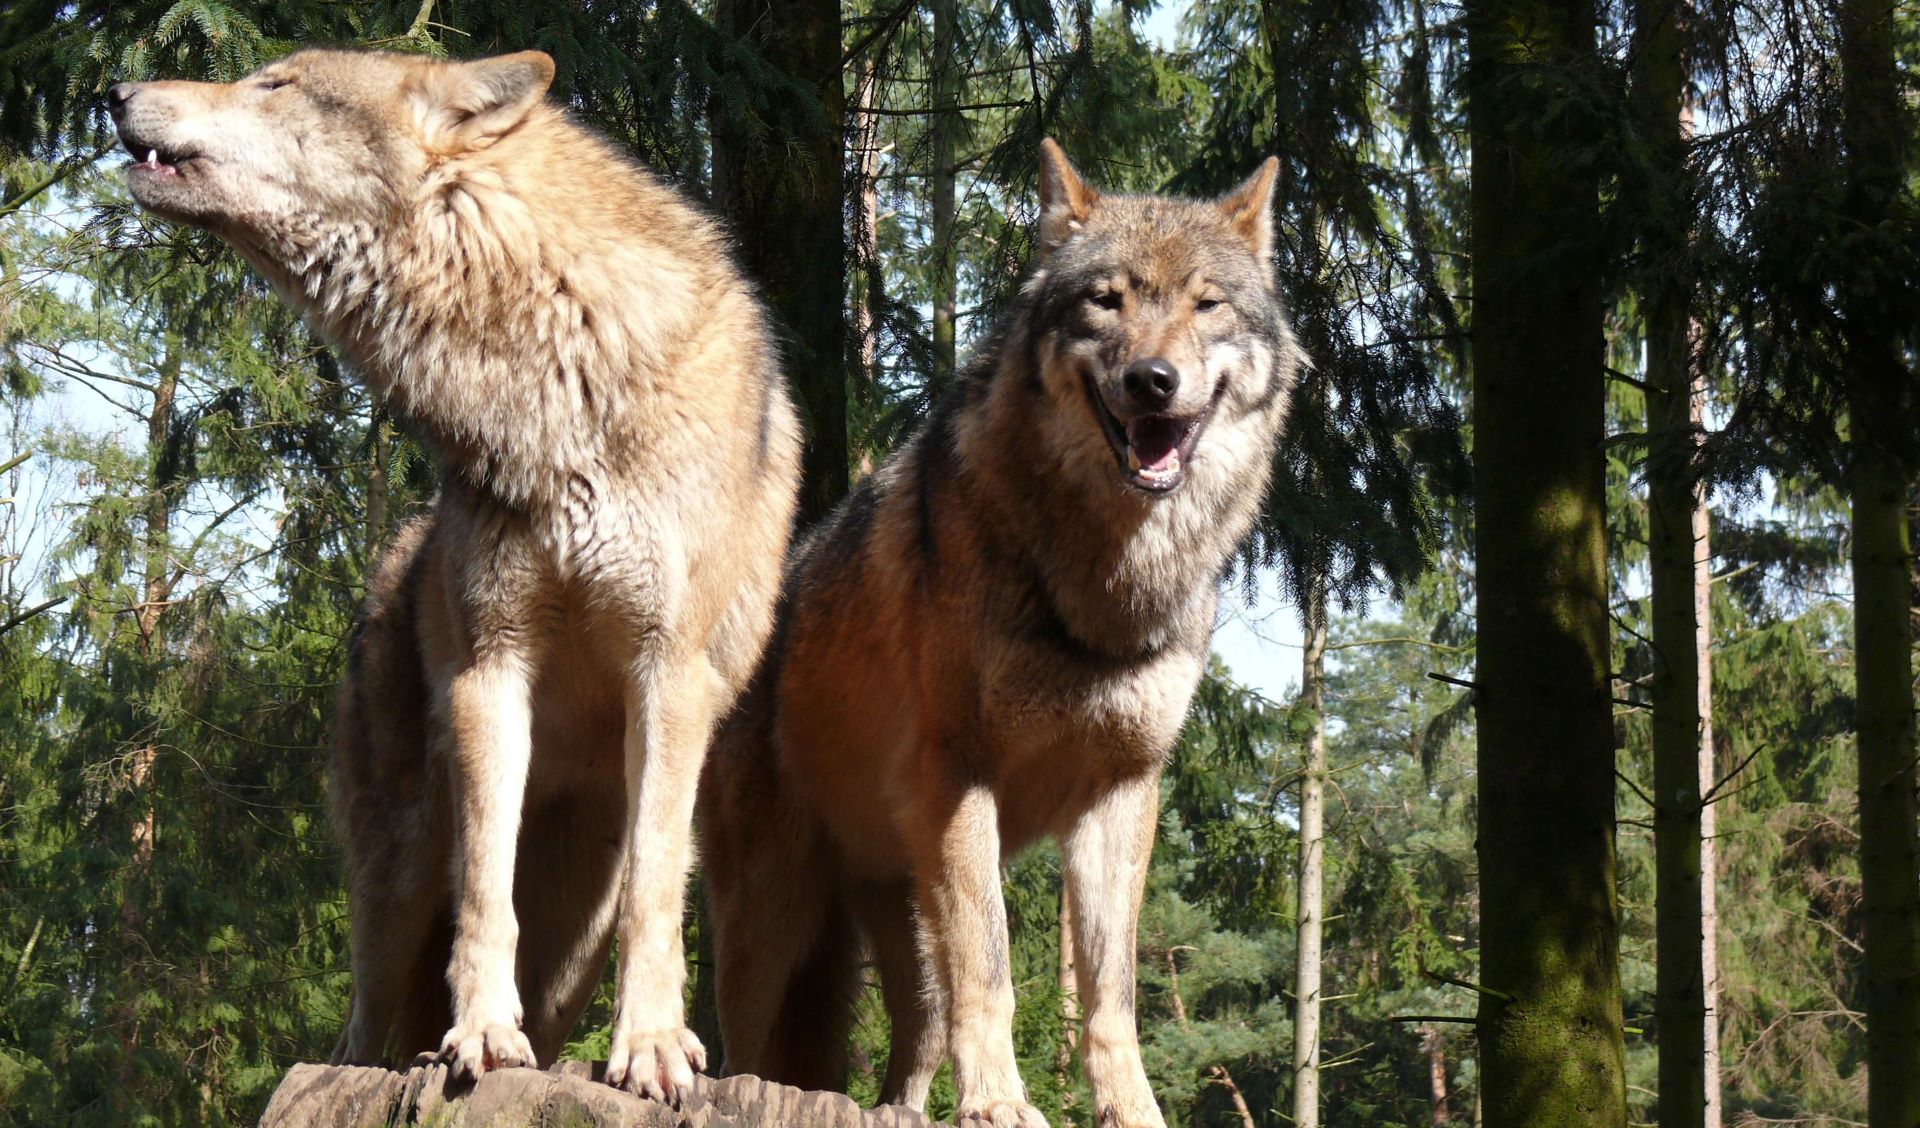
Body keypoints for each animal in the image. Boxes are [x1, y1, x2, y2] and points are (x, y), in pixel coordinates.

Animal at [108, 48, 798, 1097]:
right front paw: (478, 1033)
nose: (116, 92)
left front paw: (649, 1044)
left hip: (571, 948)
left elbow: (655, 887)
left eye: (277, 85)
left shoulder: (669, 673)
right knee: (365, 1022)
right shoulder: (490, 668)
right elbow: (485, 885)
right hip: (395, 880)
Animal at [706, 141, 1305, 1128]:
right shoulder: (962, 776)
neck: (1103, 583)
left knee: (916, 1039)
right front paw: (999, 1103)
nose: (1152, 380)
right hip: (771, 920)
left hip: (897, 914)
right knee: (741, 1042)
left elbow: (1110, 996)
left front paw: (1131, 1112)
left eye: (1206, 303)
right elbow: (991, 971)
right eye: (1106, 300)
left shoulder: (1122, 792)